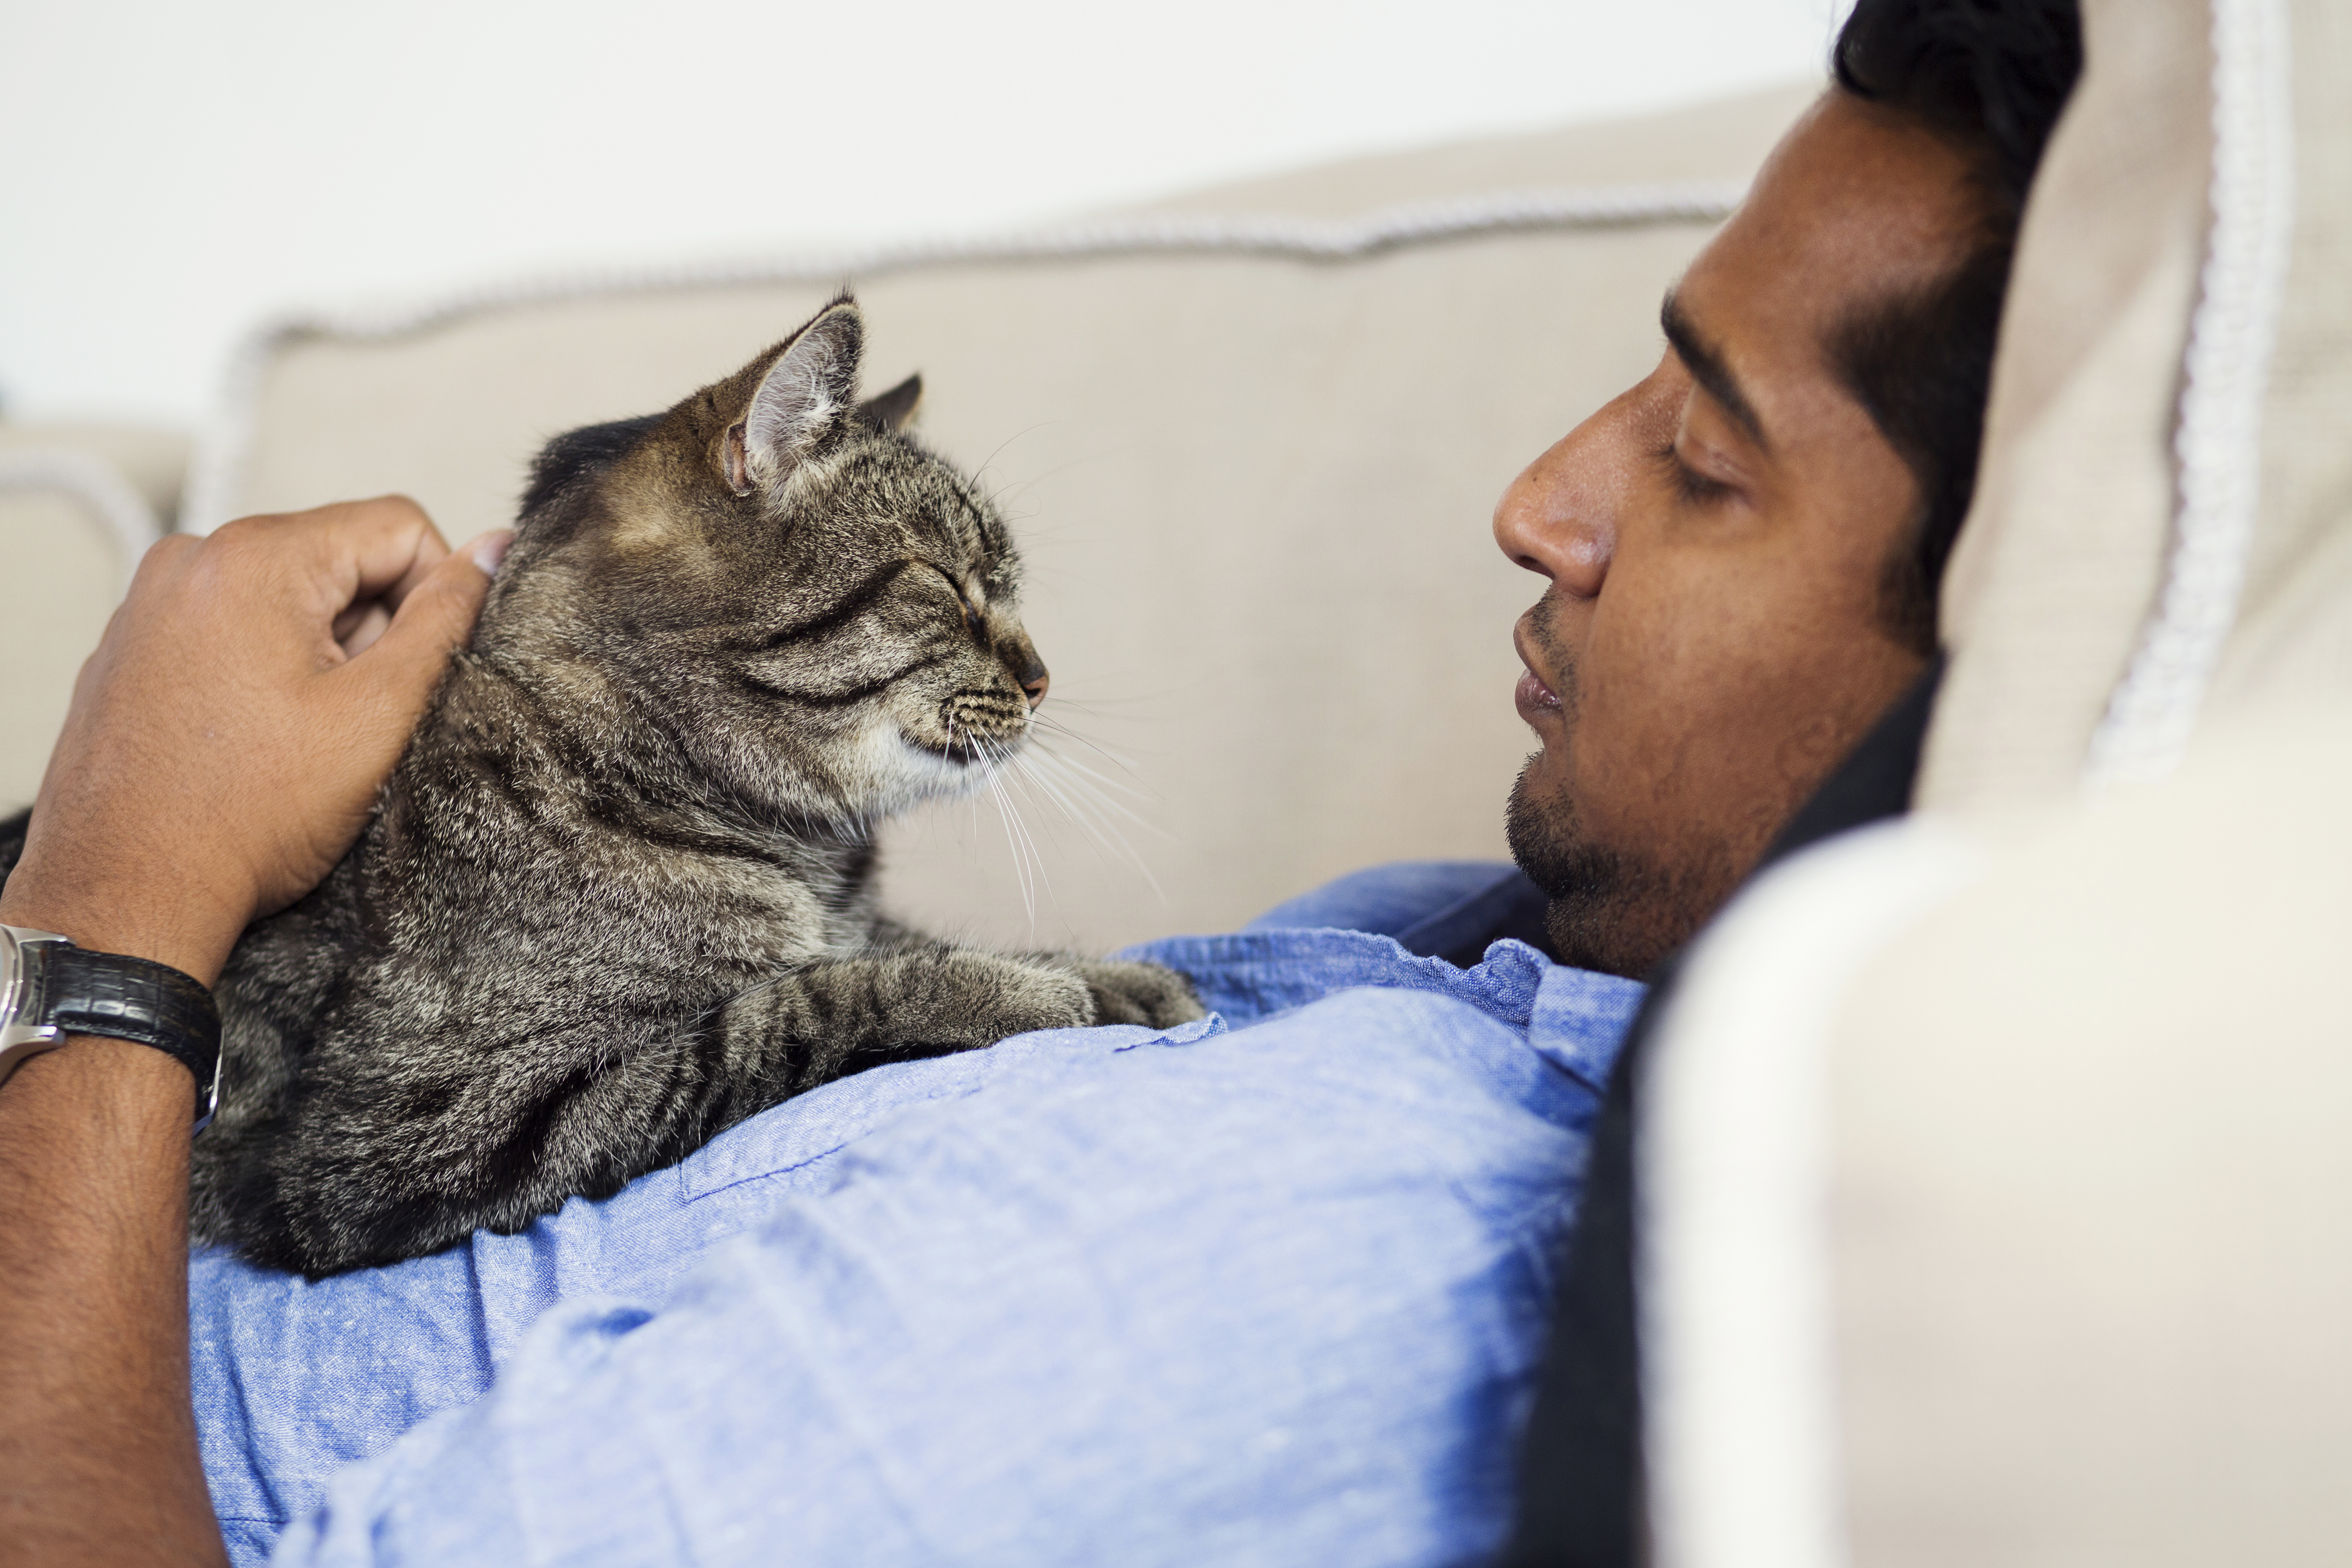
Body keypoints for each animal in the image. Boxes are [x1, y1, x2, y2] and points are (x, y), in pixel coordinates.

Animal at [0, 294, 1195, 1279]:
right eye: (950, 586)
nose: (1043, 677)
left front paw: (1106, 974)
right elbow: (801, 1004)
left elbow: (886, 947)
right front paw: (1028, 991)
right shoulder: (416, 1138)